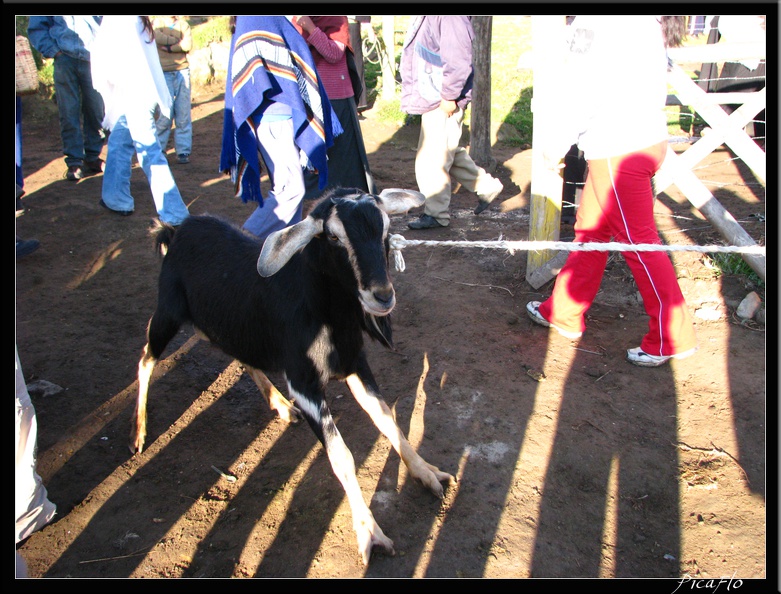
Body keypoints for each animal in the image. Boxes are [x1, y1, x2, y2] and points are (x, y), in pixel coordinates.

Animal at [133, 187, 450, 560]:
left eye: (386, 231)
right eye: (333, 236)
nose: (382, 296)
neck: (322, 311)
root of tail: (175, 231)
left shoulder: (355, 364)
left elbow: (388, 421)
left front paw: (427, 473)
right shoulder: (304, 382)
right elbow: (341, 455)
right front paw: (369, 532)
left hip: (231, 325)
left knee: (237, 354)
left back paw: (281, 406)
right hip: (168, 311)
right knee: (145, 359)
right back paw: (139, 433)